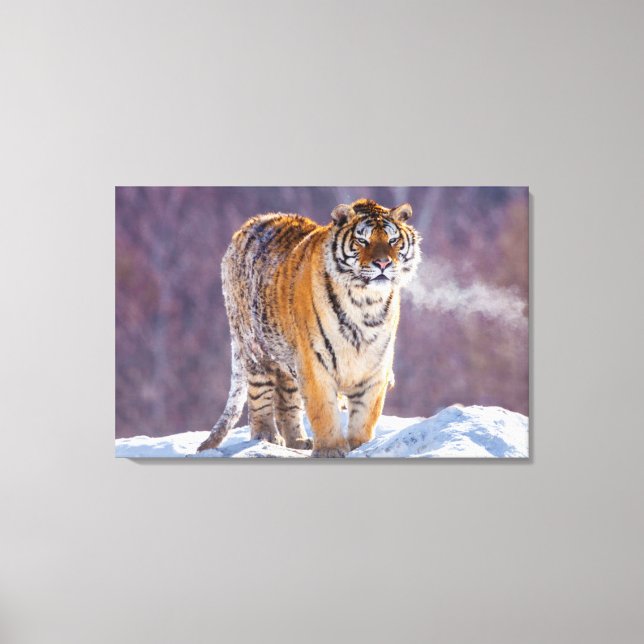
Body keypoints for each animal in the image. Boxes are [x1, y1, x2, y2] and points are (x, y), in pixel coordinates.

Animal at [197, 198, 421, 457]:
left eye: (392, 240)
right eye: (362, 240)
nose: (383, 263)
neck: (365, 303)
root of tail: (246, 226)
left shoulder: (375, 366)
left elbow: (365, 414)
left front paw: (360, 446)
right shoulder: (314, 361)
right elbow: (323, 409)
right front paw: (330, 450)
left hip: (288, 360)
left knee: (286, 401)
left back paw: (298, 441)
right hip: (255, 350)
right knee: (259, 396)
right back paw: (267, 437)